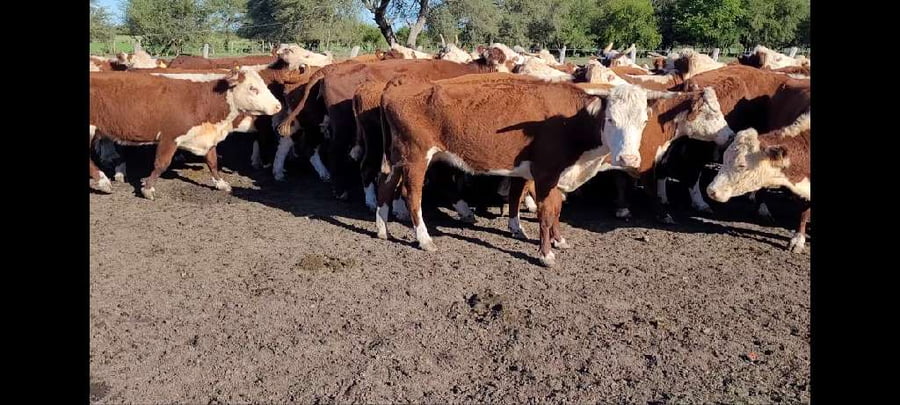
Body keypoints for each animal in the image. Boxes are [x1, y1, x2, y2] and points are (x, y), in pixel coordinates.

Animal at [89, 68, 282, 199]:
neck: (203, 100)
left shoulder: (206, 138)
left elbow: (212, 162)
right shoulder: (170, 137)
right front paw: (148, 188)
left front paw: (221, 183)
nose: (278, 106)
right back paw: (104, 182)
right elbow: (161, 164)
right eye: (252, 88)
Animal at [375, 74, 684, 266]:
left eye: (643, 121)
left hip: (399, 158)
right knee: (412, 195)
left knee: (386, 187)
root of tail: (399, 84)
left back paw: (382, 229)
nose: (629, 158)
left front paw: (554, 239)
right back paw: (424, 239)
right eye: (610, 119)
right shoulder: (546, 174)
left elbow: (549, 207)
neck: (569, 122)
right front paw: (545, 254)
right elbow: (545, 214)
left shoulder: (549, 174)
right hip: (416, 158)